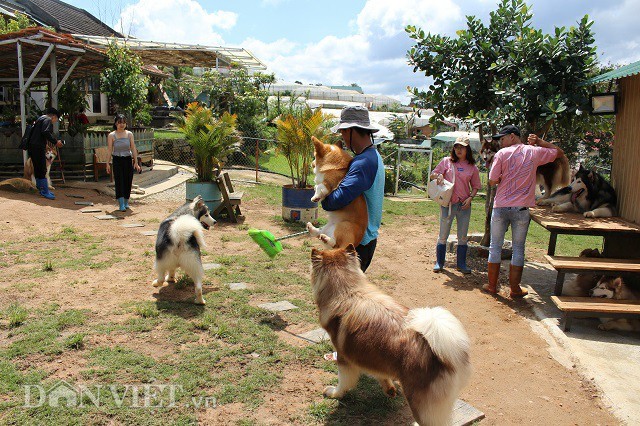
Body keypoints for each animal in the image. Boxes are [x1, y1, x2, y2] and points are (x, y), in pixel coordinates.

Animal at [310, 246, 470, 426]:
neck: (347, 291)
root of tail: (448, 357)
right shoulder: (373, 356)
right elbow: (381, 374)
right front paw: (389, 389)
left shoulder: (344, 358)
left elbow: (343, 383)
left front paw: (334, 394)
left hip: (417, 401)